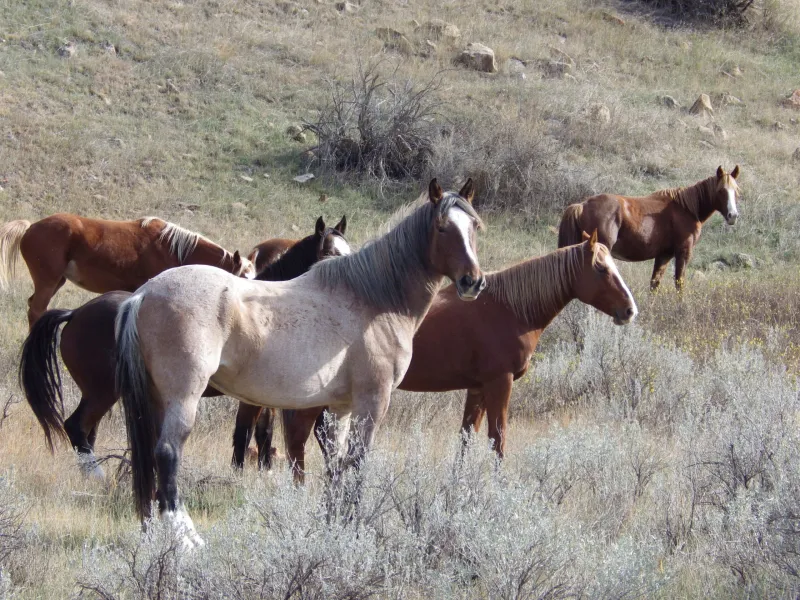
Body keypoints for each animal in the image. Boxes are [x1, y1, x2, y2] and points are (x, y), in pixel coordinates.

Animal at [0, 214, 257, 326]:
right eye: (240, 279)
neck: (173, 248)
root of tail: (30, 227)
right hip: (48, 281)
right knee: (36, 310)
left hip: (55, 282)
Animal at [115, 179, 484, 546]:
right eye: (442, 227)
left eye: (474, 226)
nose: (473, 281)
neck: (374, 300)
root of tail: (144, 294)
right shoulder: (373, 401)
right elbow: (358, 463)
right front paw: (353, 530)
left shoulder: (340, 407)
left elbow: (336, 464)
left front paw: (333, 527)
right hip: (183, 396)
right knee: (167, 453)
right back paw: (186, 539)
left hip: (156, 399)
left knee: (149, 457)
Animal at [247, 231, 638, 481]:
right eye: (601, 269)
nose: (630, 310)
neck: (509, 308)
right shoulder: (500, 384)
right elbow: (498, 438)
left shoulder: (478, 388)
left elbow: (467, 438)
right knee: (297, 440)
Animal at [557, 165, 741, 290]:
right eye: (721, 191)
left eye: (736, 190)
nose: (733, 215)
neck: (686, 209)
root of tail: (582, 205)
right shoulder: (683, 252)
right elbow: (679, 283)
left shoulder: (664, 255)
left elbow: (654, 284)